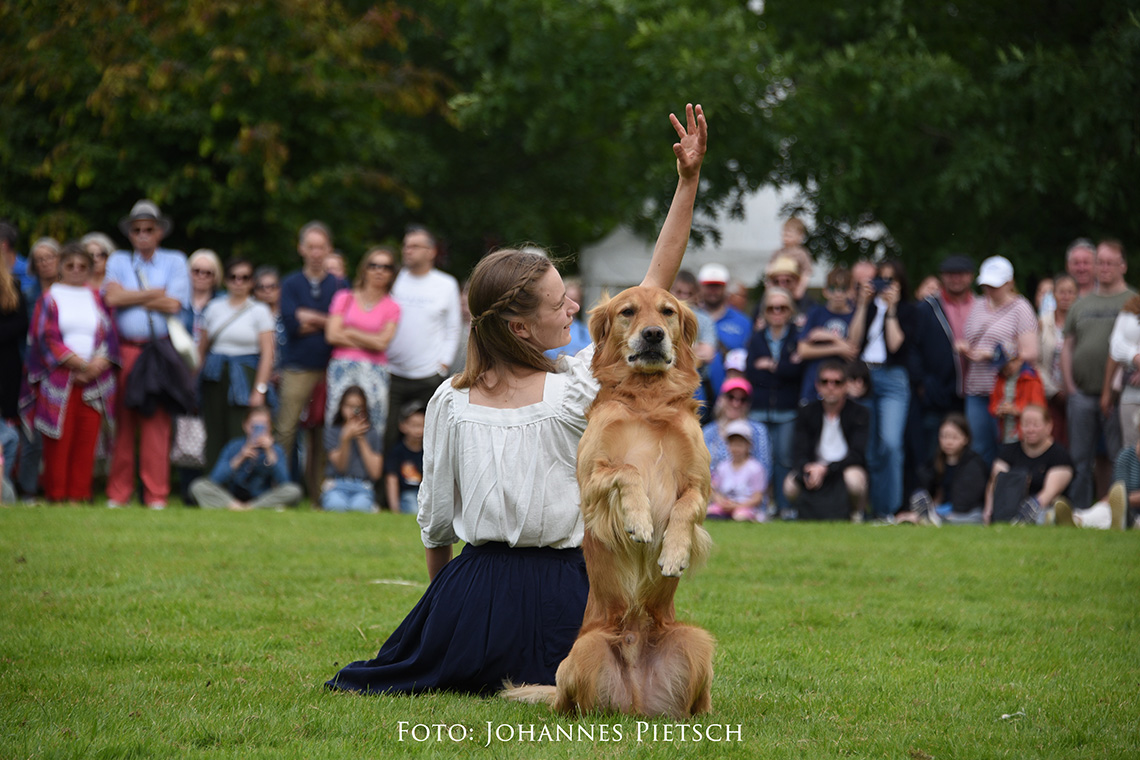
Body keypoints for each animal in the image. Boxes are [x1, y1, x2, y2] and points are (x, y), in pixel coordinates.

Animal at [501, 284, 711, 720]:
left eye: (667, 311)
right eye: (628, 311)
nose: (653, 334)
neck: (648, 400)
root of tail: (637, 703)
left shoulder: (700, 485)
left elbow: (684, 509)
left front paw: (673, 554)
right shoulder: (591, 477)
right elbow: (628, 470)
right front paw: (640, 522)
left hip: (696, 640)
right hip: (584, 650)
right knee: (572, 705)